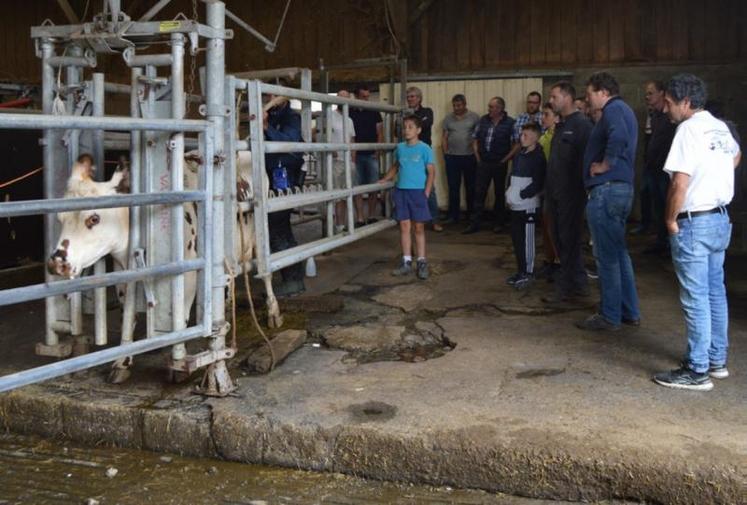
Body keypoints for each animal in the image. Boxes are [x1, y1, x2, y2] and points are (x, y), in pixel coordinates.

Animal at [46, 154, 282, 382]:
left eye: (94, 218)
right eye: (60, 218)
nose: (56, 262)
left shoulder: (187, 274)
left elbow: (179, 319)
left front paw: (177, 365)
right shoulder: (124, 271)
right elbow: (127, 316)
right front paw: (122, 362)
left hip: (259, 235)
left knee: (266, 272)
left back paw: (273, 312)